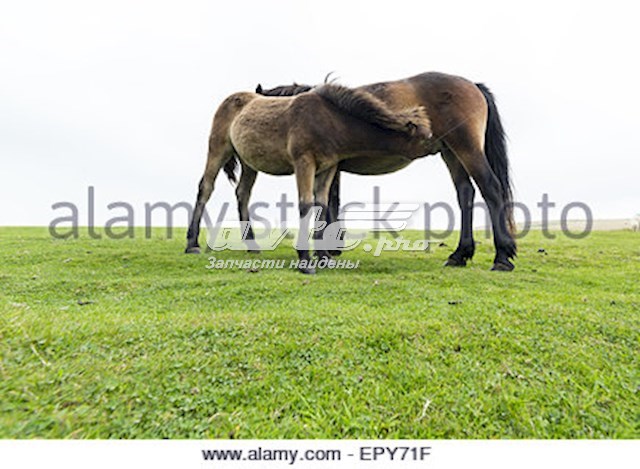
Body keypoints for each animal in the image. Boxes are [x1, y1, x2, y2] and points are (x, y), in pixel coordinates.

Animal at [188, 82, 432, 272]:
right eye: (423, 137)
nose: (434, 145)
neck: (330, 121)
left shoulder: (328, 168)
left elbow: (321, 205)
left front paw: (324, 257)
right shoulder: (304, 162)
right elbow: (305, 204)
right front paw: (305, 261)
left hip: (249, 164)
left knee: (243, 193)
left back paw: (252, 246)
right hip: (218, 149)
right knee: (206, 188)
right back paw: (192, 244)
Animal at [254, 72, 516, 270]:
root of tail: (473, 86)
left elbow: (330, 203)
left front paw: (330, 248)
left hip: (466, 148)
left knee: (490, 188)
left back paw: (502, 257)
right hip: (451, 153)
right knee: (466, 194)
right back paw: (460, 255)